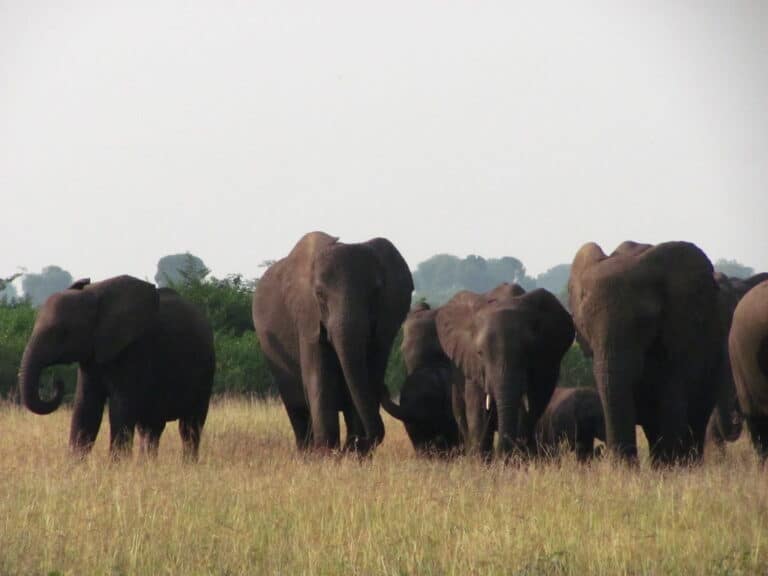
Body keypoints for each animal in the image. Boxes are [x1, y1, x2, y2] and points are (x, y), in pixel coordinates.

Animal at [19, 275, 215, 460]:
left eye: (63, 333)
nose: (57, 381)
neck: (93, 296)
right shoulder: (92, 356)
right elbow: (86, 405)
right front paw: (75, 465)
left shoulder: (134, 349)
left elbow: (120, 407)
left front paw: (116, 466)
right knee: (151, 428)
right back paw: (147, 465)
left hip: (205, 371)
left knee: (189, 427)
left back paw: (187, 464)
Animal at [252, 232, 413, 454]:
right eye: (319, 294)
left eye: (375, 293)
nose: (359, 441)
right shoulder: (307, 318)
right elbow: (319, 377)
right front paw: (328, 455)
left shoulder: (385, 325)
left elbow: (368, 376)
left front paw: (354, 454)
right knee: (297, 409)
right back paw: (308, 453)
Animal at [435, 283, 575, 459]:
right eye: (480, 353)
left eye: (529, 351)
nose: (501, 457)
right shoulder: (473, 367)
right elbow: (479, 416)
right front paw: (482, 462)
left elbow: (528, 411)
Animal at [569, 241, 723, 465]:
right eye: (584, 325)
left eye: (644, 322)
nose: (603, 453)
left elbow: (671, 399)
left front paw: (671, 468)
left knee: (696, 416)